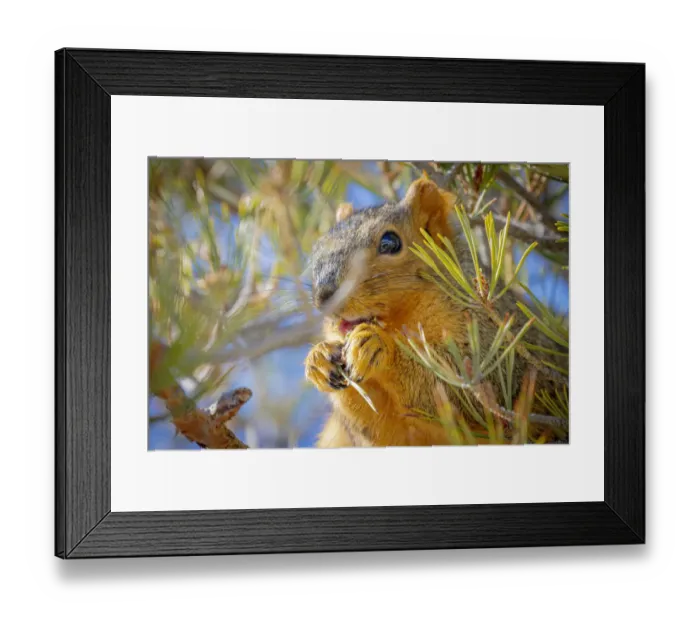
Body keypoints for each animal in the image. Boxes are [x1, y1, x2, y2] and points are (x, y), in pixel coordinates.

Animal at [304, 176, 564, 448]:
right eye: (318, 248)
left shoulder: (493, 341)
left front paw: (380, 346)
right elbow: (379, 431)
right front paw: (319, 358)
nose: (325, 298)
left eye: (390, 242)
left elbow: (464, 388)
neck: (404, 317)